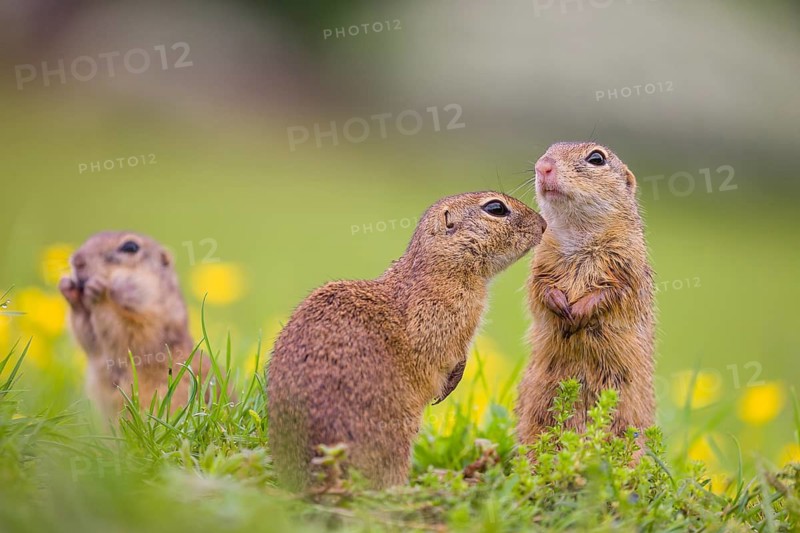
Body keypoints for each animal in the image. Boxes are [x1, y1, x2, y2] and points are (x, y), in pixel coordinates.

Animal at [59, 231, 205, 419]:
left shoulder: (151, 322)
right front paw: (67, 288)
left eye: (130, 247)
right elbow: (88, 336)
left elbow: (124, 329)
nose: (77, 261)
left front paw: (99, 292)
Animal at [516, 142, 655, 451]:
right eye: (549, 148)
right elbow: (539, 287)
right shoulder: (540, 261)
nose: (543, 166)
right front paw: (559, 304)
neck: (578, 233)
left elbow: (613, 291)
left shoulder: (626, 264)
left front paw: (578, 313)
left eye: (596, 158)